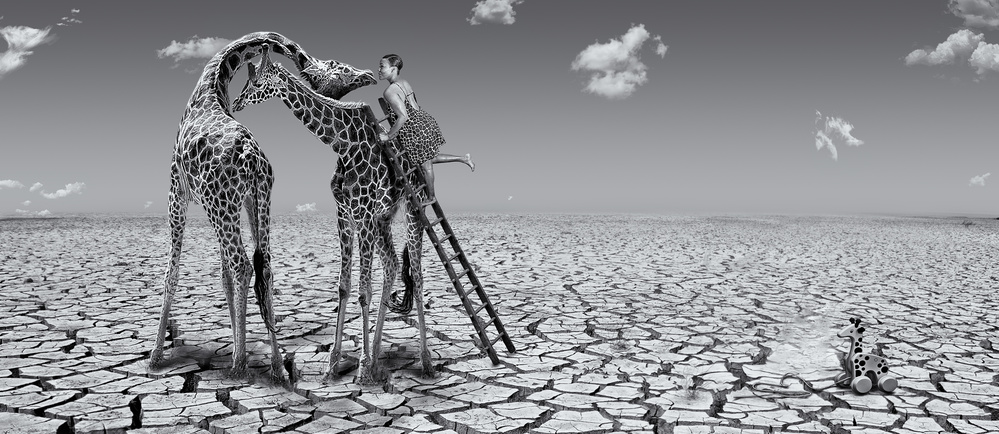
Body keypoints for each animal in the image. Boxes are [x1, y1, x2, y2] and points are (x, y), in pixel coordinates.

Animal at [151, 32, 377, 380]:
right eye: (338, 67)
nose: (369, 76)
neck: (211, 86)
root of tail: (252, 158)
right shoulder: (234, 202)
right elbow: (224, 276)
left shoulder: (177, 192)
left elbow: (172, 272)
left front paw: (156, 356)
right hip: (254, 201)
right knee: (263, 268)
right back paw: (277, 366)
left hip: (222, 205)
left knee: (243, 265)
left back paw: (240, 364)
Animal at [233, 47, 435, 381]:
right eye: (246, 80)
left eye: (258, 82)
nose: (236, 103)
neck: (344, 145)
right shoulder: (345, 213)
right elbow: (343, 287)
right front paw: (334, 364)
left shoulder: (363, 213)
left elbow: (364, 290)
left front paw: (362, 369)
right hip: (384, 217)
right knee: (393, 266)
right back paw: (377, 355)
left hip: (413, 208)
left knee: (416, 276)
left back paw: (426, 362)